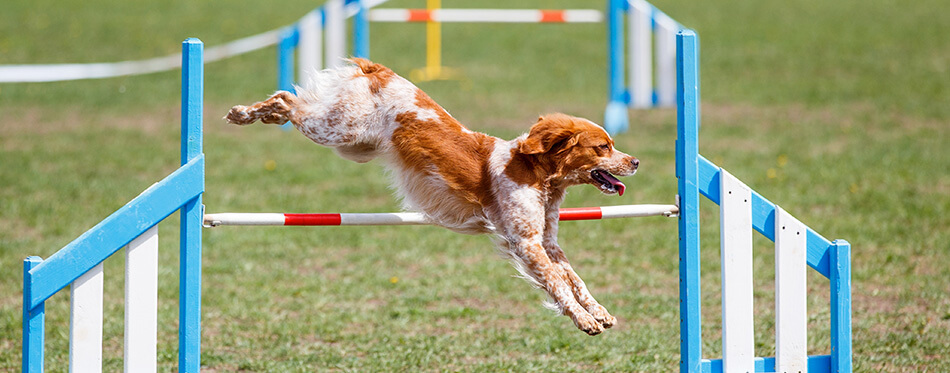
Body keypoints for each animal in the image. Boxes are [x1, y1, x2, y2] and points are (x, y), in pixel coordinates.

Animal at [226, 58, 640, 334]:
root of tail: (379, 70)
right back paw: (244, 113)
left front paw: (599, 311)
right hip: (340, 130)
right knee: (287, 100)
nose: (636, 161)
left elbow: (574, 279)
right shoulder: (525, 243)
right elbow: (558, 284)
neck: (537, 175)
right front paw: (583, 319)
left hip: (356, 144)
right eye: (603, 147)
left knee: (289, 103)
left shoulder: (547, 241)